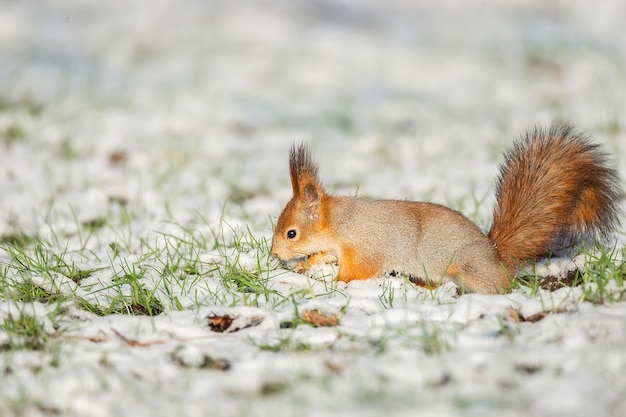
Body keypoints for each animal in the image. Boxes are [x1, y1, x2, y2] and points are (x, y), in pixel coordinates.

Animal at [270, 124, 620, 292]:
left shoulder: (366, 248)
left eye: (291, 233)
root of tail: (496, 256)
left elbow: (356, 272)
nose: (273, 254)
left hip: (468, 271)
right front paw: (308, 265)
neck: (341, 223)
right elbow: (325, 255)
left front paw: (330, 282)